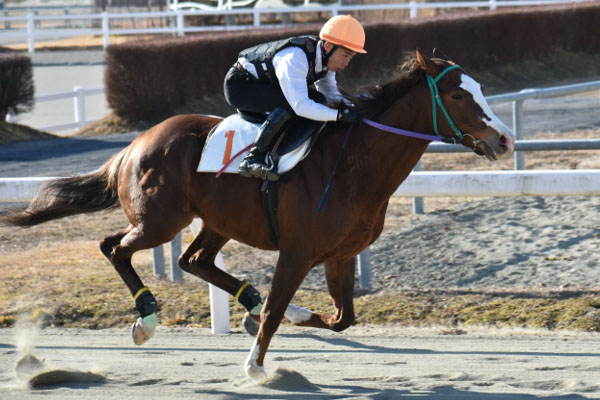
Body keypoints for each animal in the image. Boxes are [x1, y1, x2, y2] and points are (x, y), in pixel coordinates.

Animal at [0, 50, 514, 380]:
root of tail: (134, 145)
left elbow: (340, 318)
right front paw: (254, 366)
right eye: (458, 96)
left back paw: (239, 301)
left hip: (217, 222)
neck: (352, 163)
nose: (505, 139)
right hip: (159, 221)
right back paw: (146, 318)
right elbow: (276, 311)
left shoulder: (340, 254)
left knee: (193, 260)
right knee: (114, 247)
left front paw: (290, 315)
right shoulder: (298, 250)